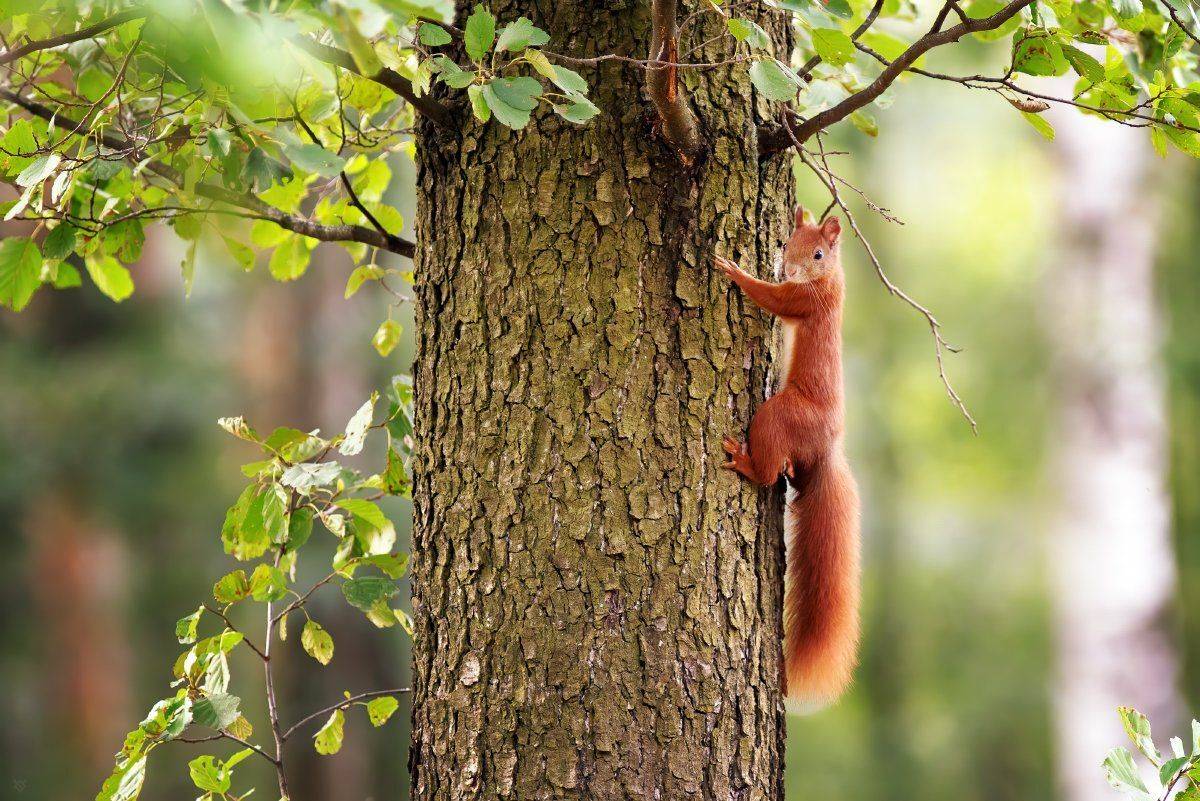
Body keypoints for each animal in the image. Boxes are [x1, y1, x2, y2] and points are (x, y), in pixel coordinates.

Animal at [716, 206, 861, 706]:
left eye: (817, 253)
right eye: (785, 243)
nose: (789, 269)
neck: (830, 278)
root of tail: (826, 449)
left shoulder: (805, 301)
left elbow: (773, 300)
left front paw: (734, 271)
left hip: (780, 415)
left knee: (766, 474)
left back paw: (744, 462)